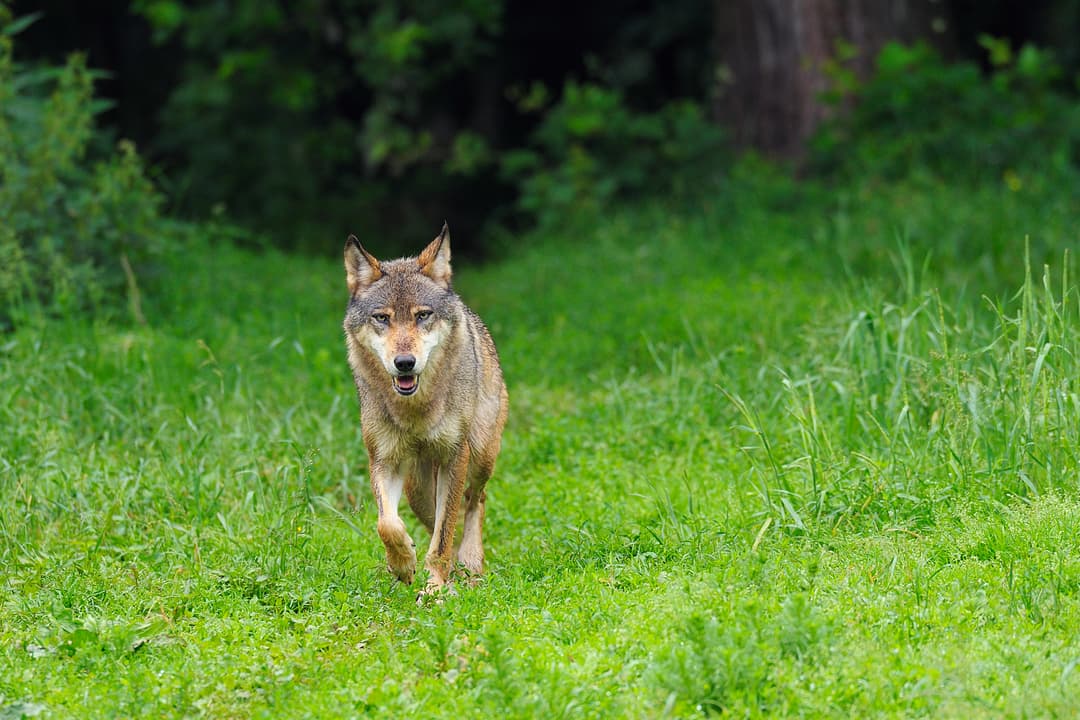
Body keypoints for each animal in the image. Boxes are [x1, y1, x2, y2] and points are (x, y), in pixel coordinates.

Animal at [343, 223, 507, 595]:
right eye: (382, 318)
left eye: (422, 316)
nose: (404, 363)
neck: (415, 411)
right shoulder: (383, 460)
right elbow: (388, 524)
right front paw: (403, 563)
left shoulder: (455, 456)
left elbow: (443, 536)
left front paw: (435, 589)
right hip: (416, 488)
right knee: (436, 519)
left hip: (480, 456)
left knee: (474, 501)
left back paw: (470, 563)